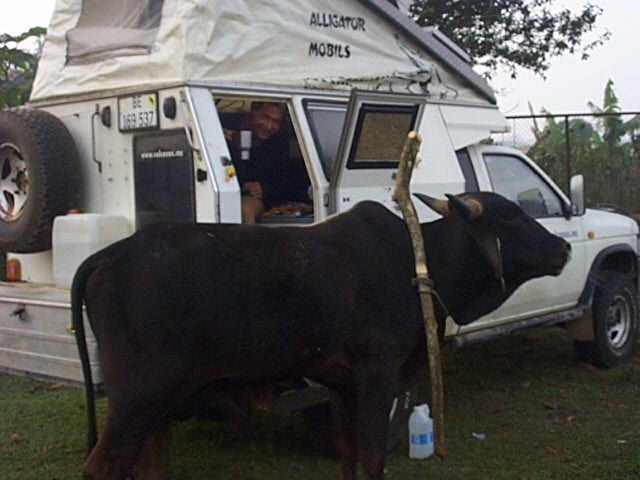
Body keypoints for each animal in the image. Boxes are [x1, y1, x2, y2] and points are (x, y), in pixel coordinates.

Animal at [74, 192, 568, 480]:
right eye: (513, 218)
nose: (563, 247)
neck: (416, 261)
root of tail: (112, 252)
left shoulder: (341, 385)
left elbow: (348, 455)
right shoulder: (377, 374)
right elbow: (371, 458)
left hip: (157, 404)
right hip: (137, 398)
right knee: (102, 468)